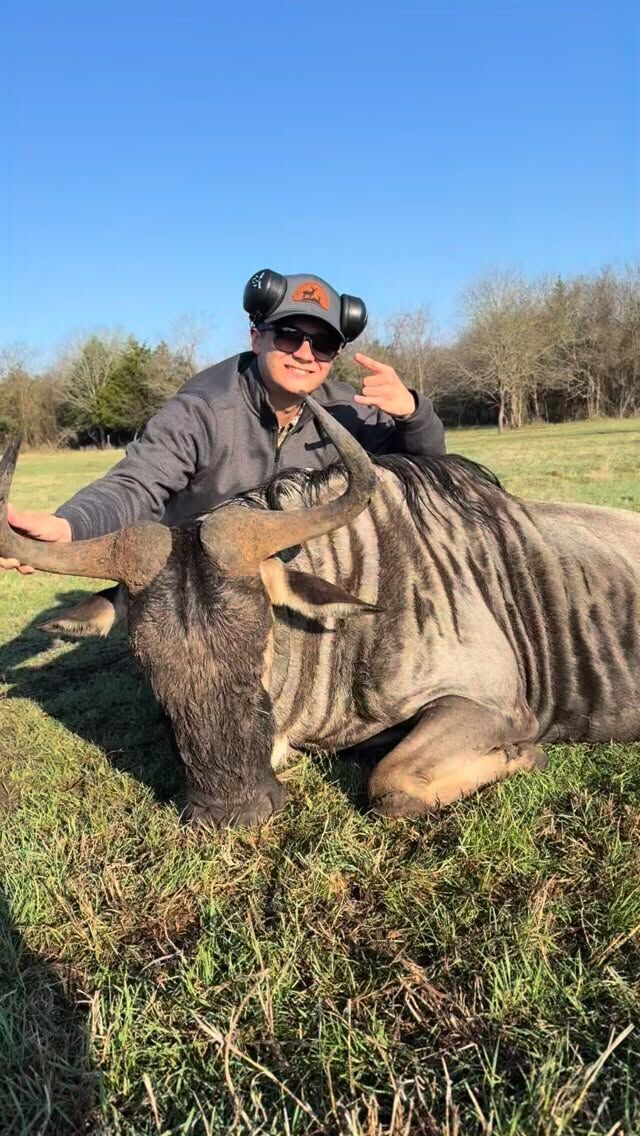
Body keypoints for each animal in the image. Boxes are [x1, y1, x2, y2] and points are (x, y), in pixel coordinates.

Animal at [1, 399, 639, 829]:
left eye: (261, 637)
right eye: (143, 660)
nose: (233, 814)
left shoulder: (492, 703)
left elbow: (389, 783)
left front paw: (524, 753)